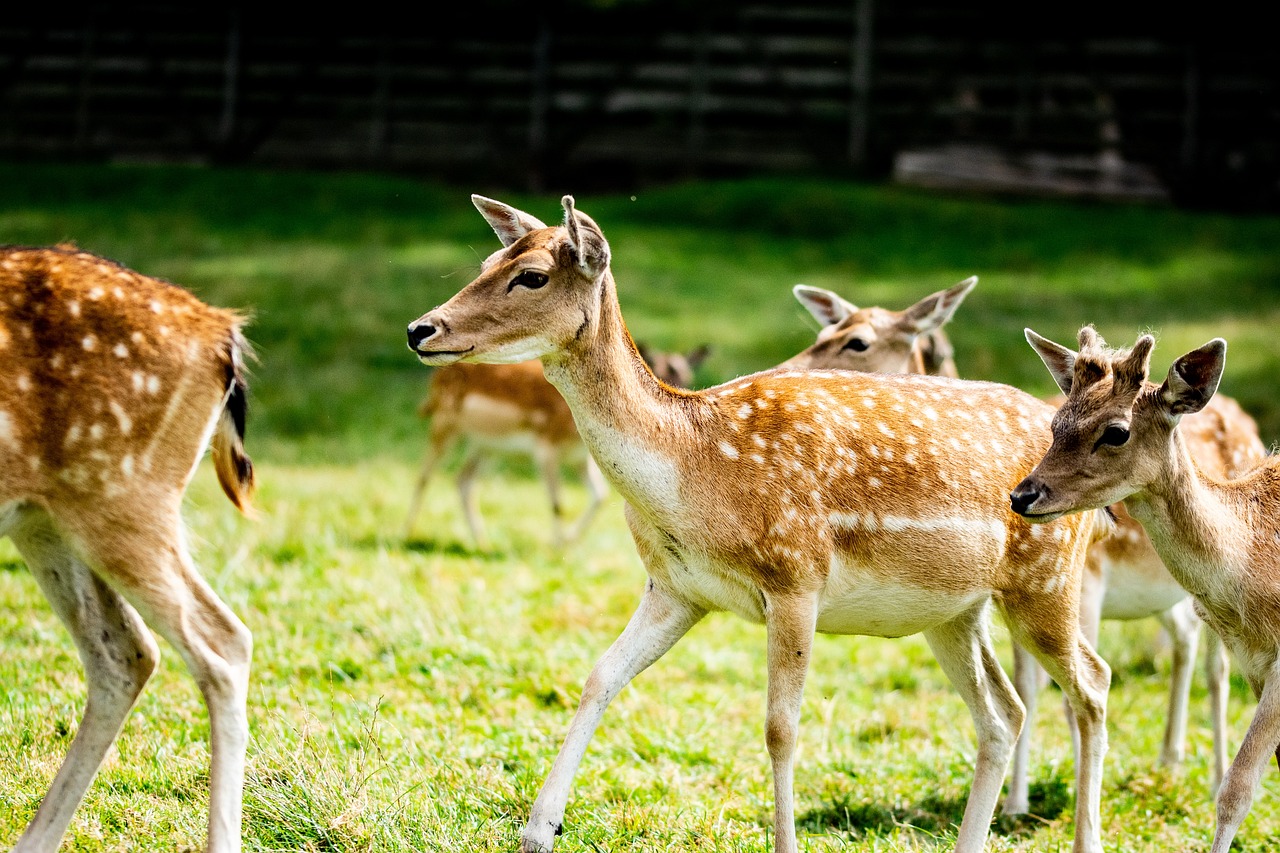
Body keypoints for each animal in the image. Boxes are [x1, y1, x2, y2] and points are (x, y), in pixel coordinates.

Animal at [407, 194, 1111, 850]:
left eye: (530, 276)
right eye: (486, 261)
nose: (420, 327)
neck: (691, 475)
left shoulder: (796, 575)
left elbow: (780, 726)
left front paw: (786, 842)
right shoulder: (677, 588)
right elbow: (600, 675)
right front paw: (538, 830)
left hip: (1047, 579)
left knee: (1092, 682)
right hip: (952, 611)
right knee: (1003, 711)